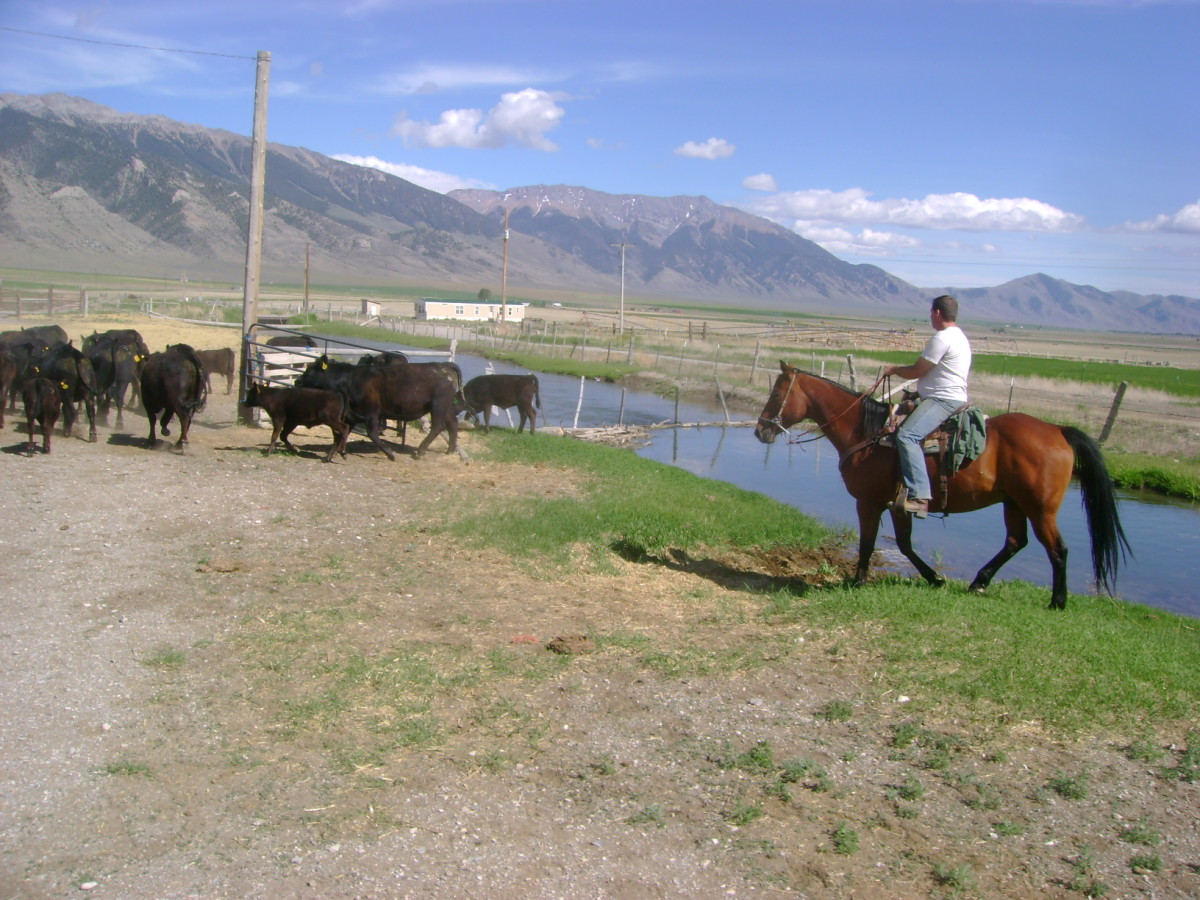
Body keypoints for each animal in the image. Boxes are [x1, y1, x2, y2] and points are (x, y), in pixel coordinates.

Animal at [292, 355, 456, 460]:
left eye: (309, 371)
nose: (296, 381)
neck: (350, 380)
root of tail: (444, 366)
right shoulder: (351, 414)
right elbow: (342, 433)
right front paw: (331, 454)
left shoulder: (371, 413)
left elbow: (372, 434)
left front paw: (390, 454)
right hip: (445, 407)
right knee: (452, 423)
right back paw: (451, 450)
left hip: (438, 406)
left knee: (438, 426)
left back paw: (420, 451)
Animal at [753, 362, 1128, 609]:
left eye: (776, 392)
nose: (760, 430)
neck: (867, 433)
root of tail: (1058, 430)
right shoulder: (898, 503)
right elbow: (904, 544)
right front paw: (935, 578)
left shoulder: (869, 502)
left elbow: (868, 542)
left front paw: (857, 581)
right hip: (1014, 503)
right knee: (1015, 542)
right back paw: (979, 582)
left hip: (1040, 508)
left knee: (1057, 550)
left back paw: (1057, 601)